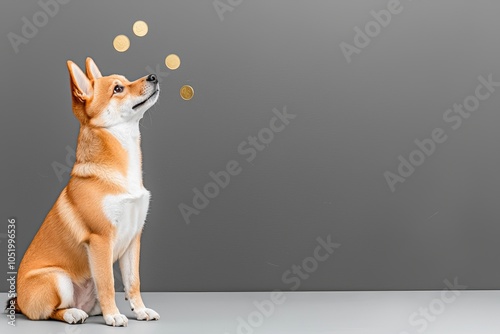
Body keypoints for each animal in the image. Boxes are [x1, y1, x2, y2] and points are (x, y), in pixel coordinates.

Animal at [8, 57, 160, 326]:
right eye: (118, 89)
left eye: (126, 80)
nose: (153, 76)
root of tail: (20, 302)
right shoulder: (100, 240)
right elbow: (108, 282)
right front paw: (114, 316)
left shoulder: (133, 241)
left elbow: (133, 282)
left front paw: (140, 310)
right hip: (58, 279)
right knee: (52, 311)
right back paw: (73, 313)